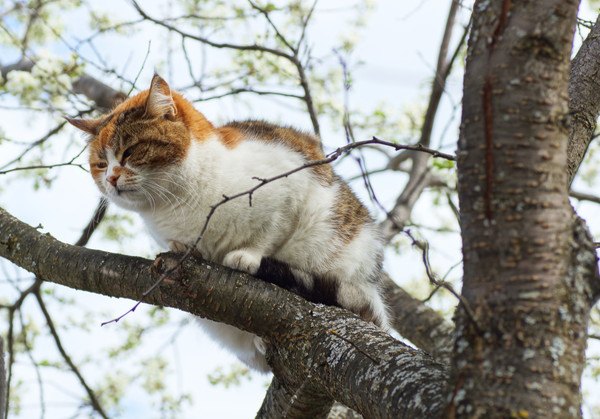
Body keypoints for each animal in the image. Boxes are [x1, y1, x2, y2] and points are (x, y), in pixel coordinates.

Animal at [68, 75, 390, 374]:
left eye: (130, 152)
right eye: (100, 164)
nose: (111, 178)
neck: (178, 203)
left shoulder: (291, 187)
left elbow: (269, 233)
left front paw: (247, 255)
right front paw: (186, 248)